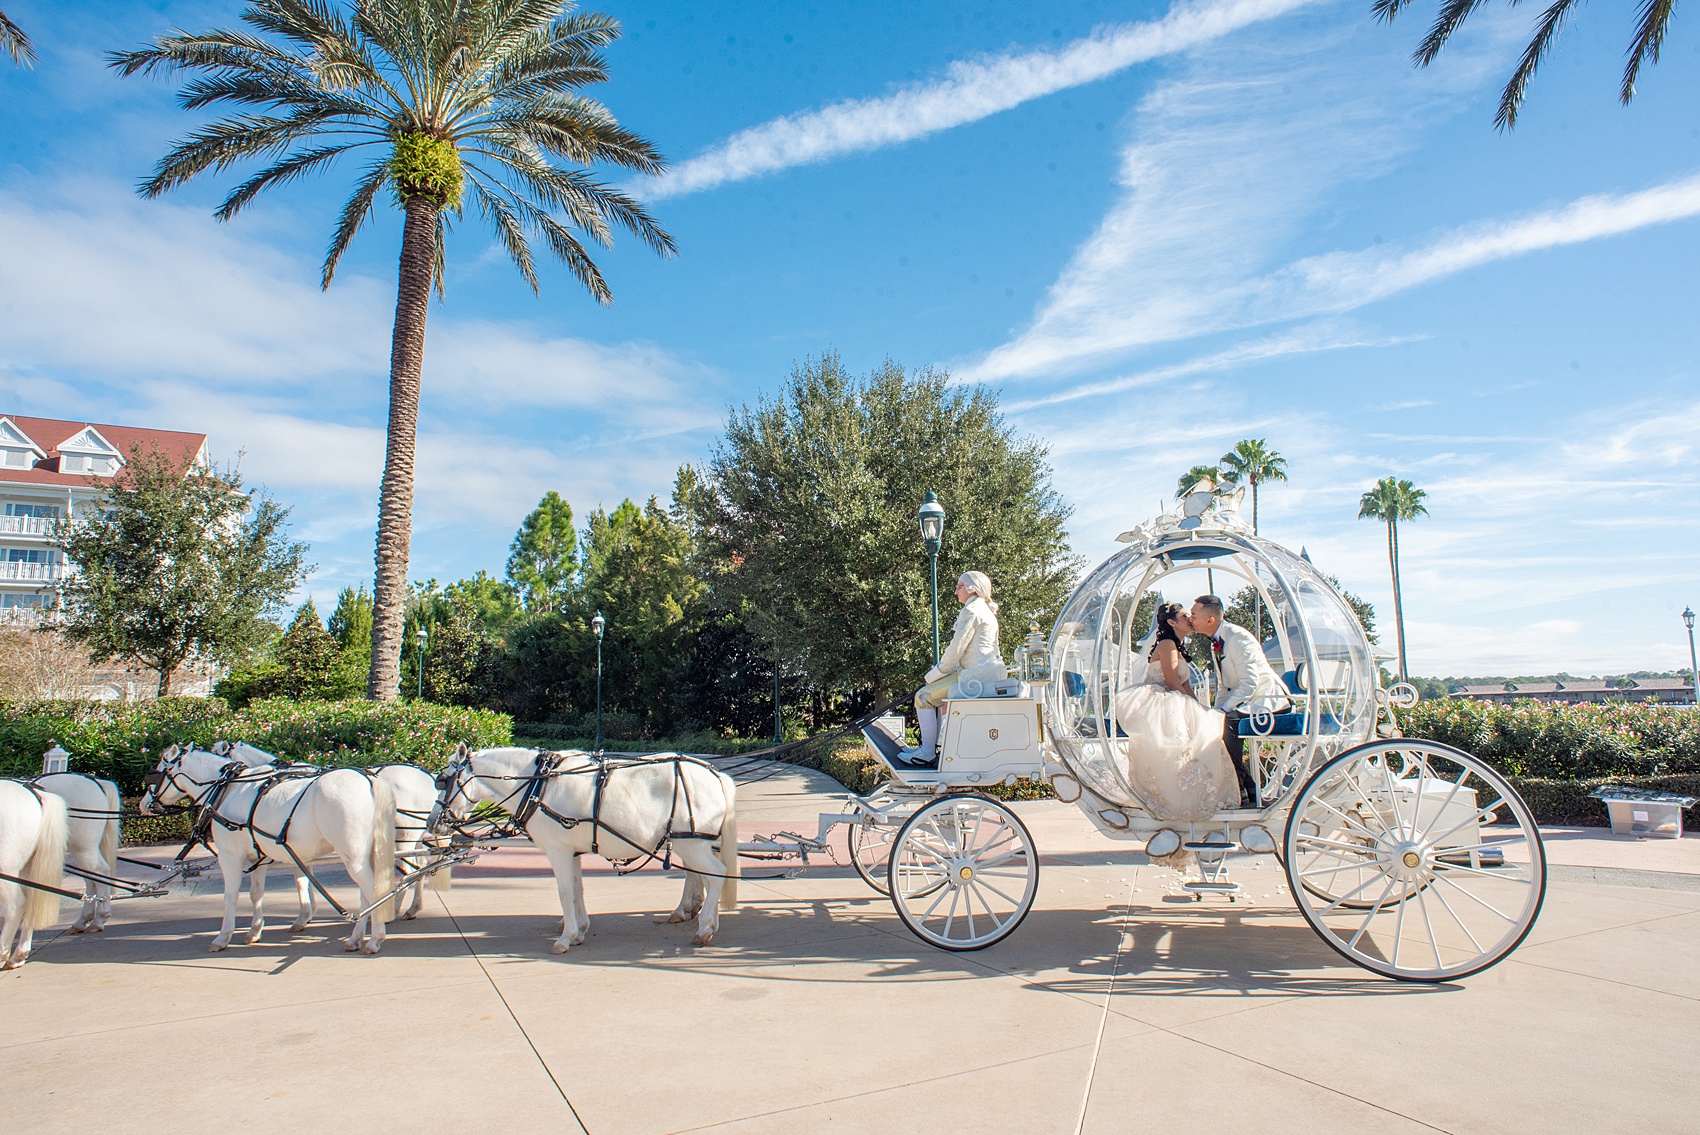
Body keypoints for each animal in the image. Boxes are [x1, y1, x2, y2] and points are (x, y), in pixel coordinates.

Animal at [0, 781, 69, 965]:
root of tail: (34, 793)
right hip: (27, 869)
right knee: (30, 901)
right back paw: (19, 954)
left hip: (7, 869)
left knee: (15, 905)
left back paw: (2, 954)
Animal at [28, 771, 121, 937]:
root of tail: (96, 781)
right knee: (91, 879)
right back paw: (83, 920)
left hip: (83, 847)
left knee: (100, 873)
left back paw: (98, 919)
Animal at [144, 740, 396, 951]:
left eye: (159, 772)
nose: (143, 804)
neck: (229, 789)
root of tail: (370, 780)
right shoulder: (261, 856)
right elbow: (259, 892)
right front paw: (256, 930)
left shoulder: (230, 855)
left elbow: (231, 895)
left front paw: (223, 936)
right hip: (367, 853)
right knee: (367, 895)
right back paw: (356, 937)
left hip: (353, 857)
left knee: (374, 890)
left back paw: (375, 938)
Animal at [438, 744, 737, 951]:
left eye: (444, 780)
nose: (433, 822)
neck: (539, 785)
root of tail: (716, 775)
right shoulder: (572, 851)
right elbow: (577, 890)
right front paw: (579, 930)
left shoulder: (558, 851)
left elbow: (565, 894)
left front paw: (565, 937)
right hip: (692, 844)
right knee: (706, 876)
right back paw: (702, 918)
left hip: (692, 843)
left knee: (717, 873)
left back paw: (705, 927)